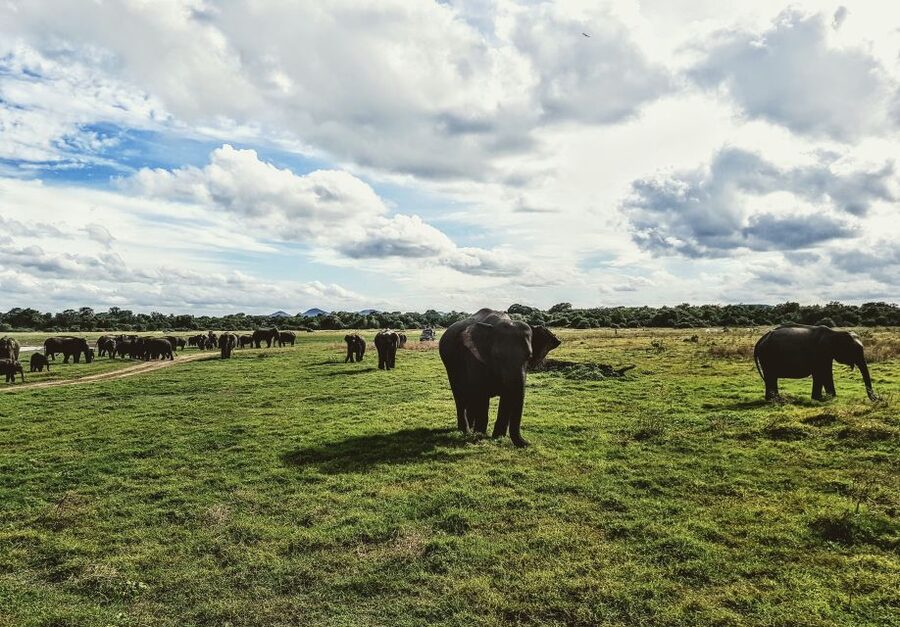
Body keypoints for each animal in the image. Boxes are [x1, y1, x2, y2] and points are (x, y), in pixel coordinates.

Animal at [439, 308, 561, 448]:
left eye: (529, 357)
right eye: (497, 356)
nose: (529, 443)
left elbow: (507, 396)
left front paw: (498, 437)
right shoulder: (474, 358)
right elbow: (481, 394)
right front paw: (480, 435)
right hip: (450, 365)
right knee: (460, 396)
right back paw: (465, 431)